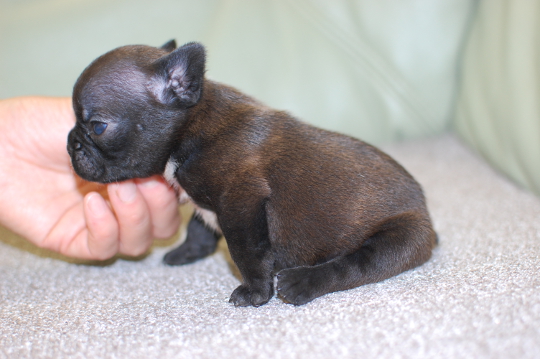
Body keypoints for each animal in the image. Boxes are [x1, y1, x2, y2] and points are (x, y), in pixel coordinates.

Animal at [68, 40, 438, 308]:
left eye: (98, 126)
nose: (70, 143)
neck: (190, 128)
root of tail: (424, 212)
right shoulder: (208, 202)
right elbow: (198, 228)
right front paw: (187, 252)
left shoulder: (241, 201)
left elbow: (246, 252)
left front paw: (255, 293)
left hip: (399, 239)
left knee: (354, 267)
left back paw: (301, 283)